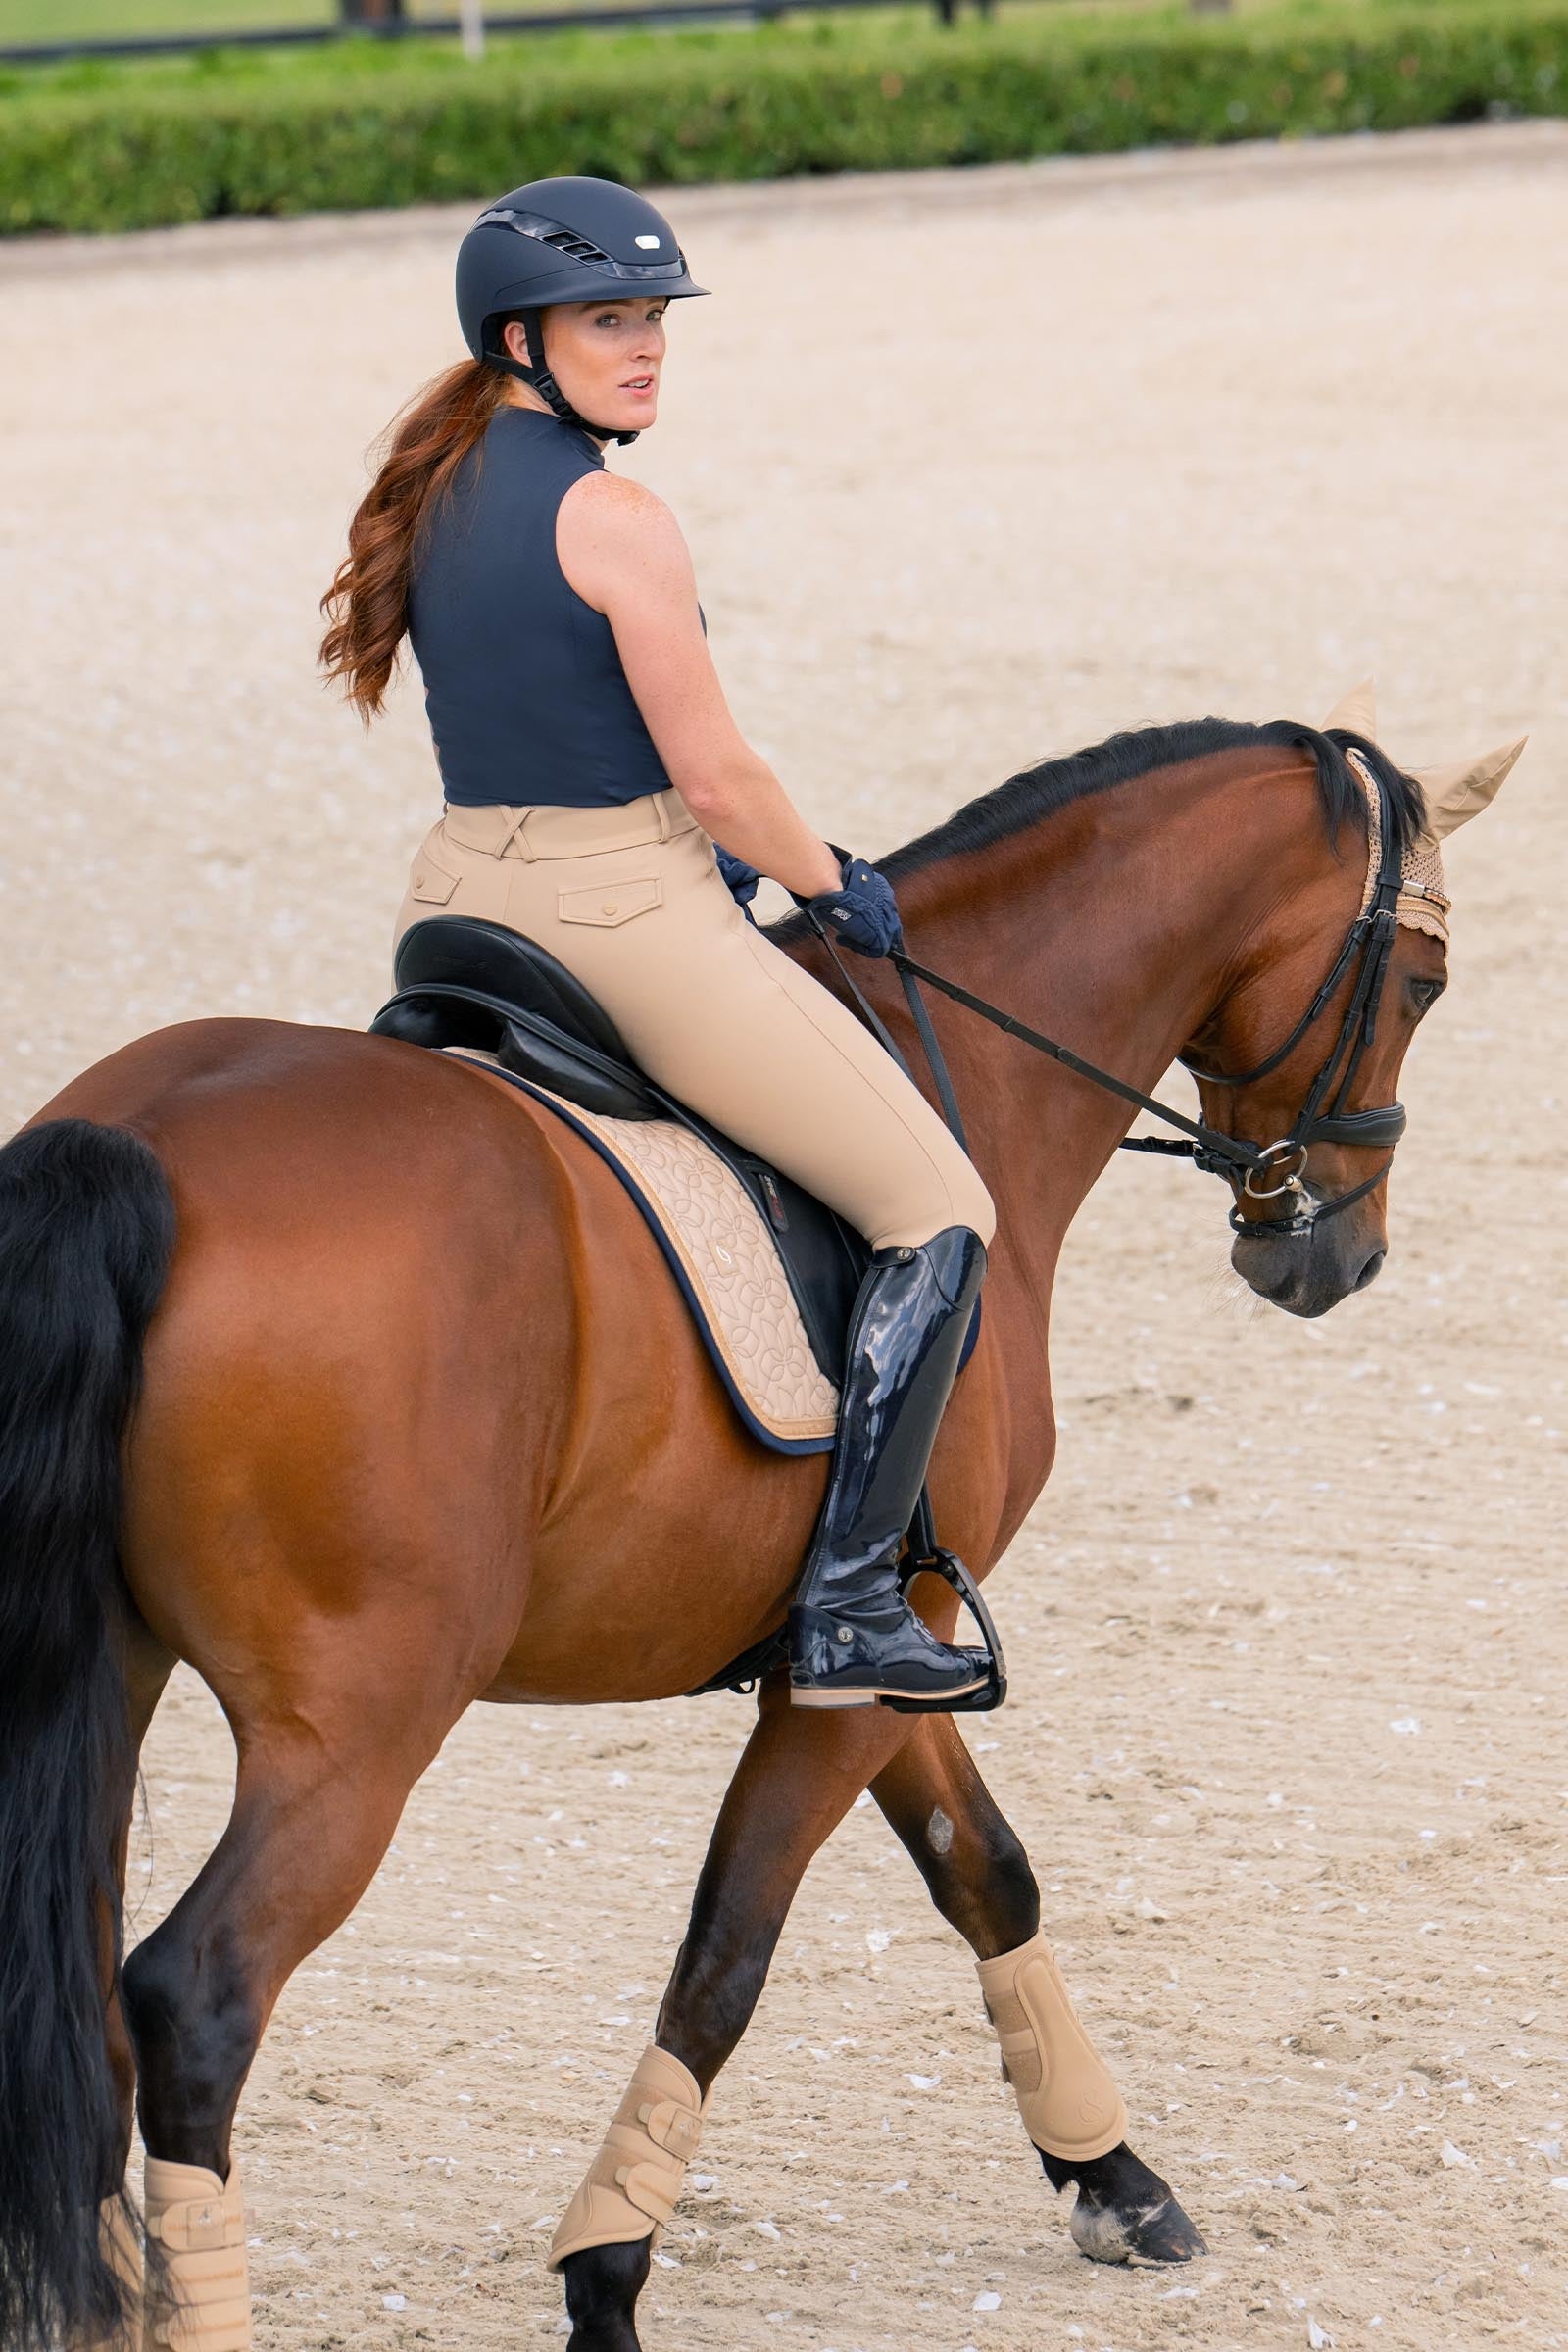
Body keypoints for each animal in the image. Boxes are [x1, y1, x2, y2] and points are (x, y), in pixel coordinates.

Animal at [0, 691, 1521, 2352]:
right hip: (360, 1727)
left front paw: (1115, 2178)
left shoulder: (884, 1637)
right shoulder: (866, 1657)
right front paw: (606, 2274)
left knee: (80, 1993)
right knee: (195, 2001)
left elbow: (984, 1870)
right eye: (1428, 982)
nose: (1336, 1256)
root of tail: (141, 1142)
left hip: (110, 1675)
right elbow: (728, 1956)